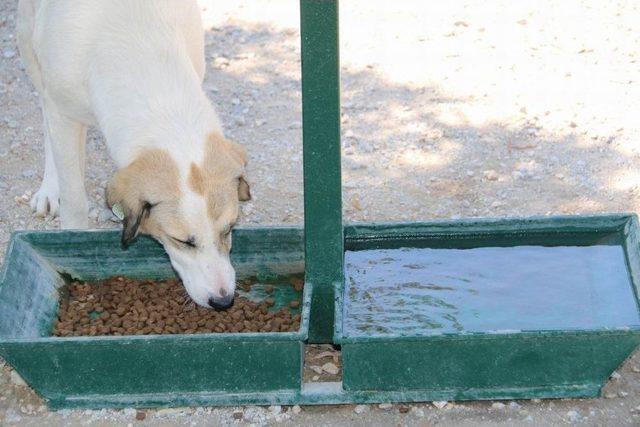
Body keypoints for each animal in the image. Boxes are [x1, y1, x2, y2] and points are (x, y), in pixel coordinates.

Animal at [16, 0, 251, 308]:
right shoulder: (63, 112)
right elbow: (74, 202)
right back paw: (49, 189)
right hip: (28, 40)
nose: (223, 302)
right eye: (182, 241)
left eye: (229, 229)